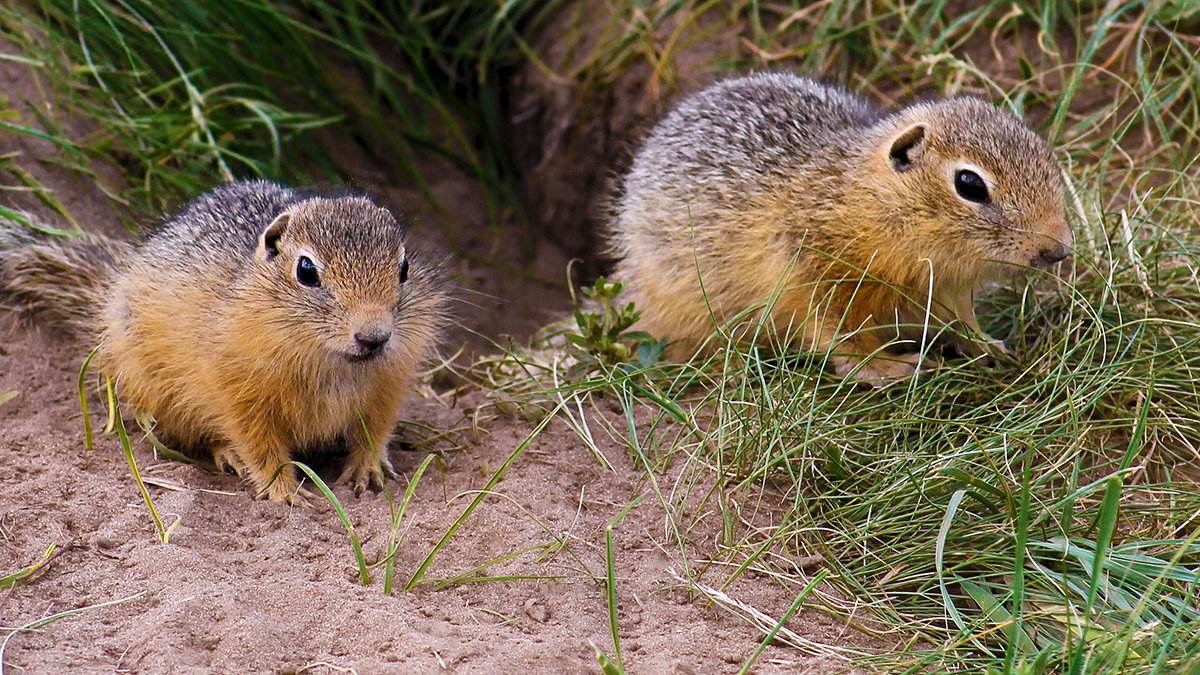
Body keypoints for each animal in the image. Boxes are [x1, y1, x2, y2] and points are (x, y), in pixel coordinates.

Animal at [0, 181, 451, 502]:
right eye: (306, 270)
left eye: (404, 267)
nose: (374, 336)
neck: (329, 362)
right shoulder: (237, 391)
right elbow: (258, 443)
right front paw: (284, 490)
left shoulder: (388, 385)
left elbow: (374, 430)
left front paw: (367, 470)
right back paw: (226, 455)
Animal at [614, 72, 1075, 384]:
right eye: (969, 184)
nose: (1059, 249)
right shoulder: (817, 275)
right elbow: (845, 338)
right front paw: (890, 366)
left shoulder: (946, 287)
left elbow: (961, 319)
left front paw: (988, 346)